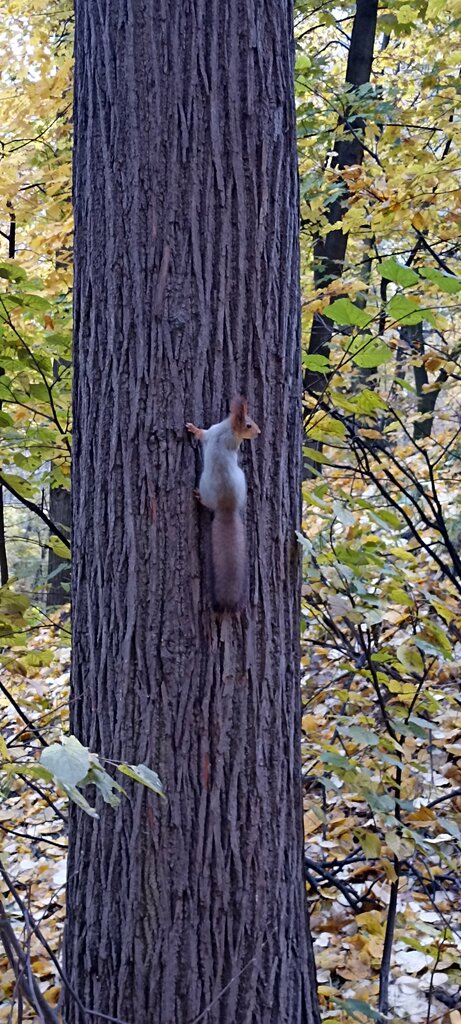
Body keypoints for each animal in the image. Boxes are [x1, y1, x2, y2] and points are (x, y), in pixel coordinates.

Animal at [186, 397, 260, 613]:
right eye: (249, 424)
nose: (259, 433)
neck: (229, 430)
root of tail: (227, 506)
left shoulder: (213, 434)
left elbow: (202, 435)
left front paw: (192, 428)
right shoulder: (215, 432)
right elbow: (203, 434)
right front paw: (192, 428)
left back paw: (197, 496)